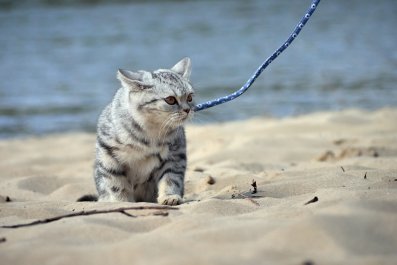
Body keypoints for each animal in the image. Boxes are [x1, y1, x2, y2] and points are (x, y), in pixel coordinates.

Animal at [78, 57, 194, 205]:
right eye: (170, 100)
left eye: (190, 97)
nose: (187, 109)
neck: (151, 132)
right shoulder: (109, 155)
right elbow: (117, 185)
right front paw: (121, 201)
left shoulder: (175, 156)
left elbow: (171, 179)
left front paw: (169, 196)